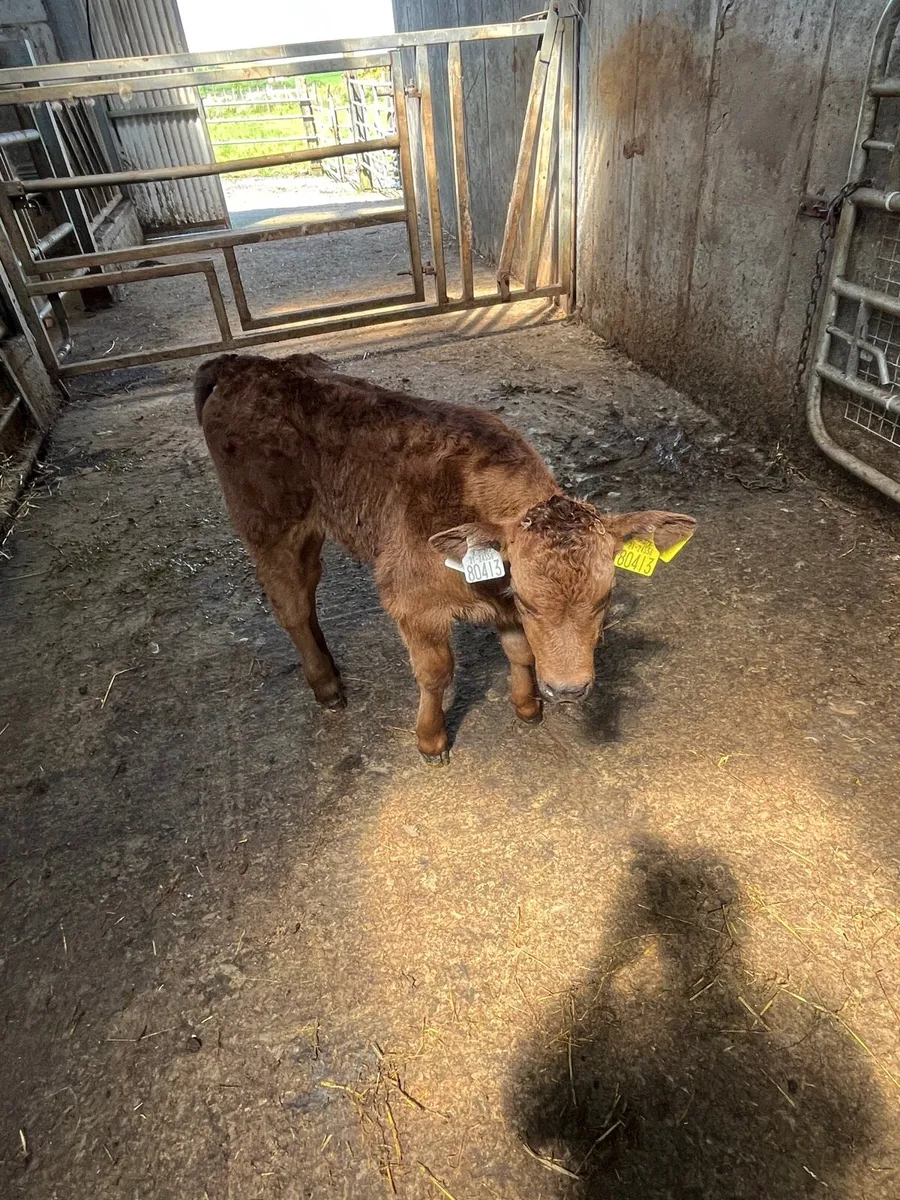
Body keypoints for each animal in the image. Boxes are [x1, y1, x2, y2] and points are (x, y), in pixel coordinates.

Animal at [194, 352, 695, 764]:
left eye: (604, 598)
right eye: (530, 601)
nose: (567, 689)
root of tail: (240, 364)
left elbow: (519, 651)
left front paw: (526, 705)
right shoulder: (411, 601)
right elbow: (436, 672)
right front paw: (431, 739)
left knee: (307, 585)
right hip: (268, 524)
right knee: (291, 602)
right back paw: (327, 685)